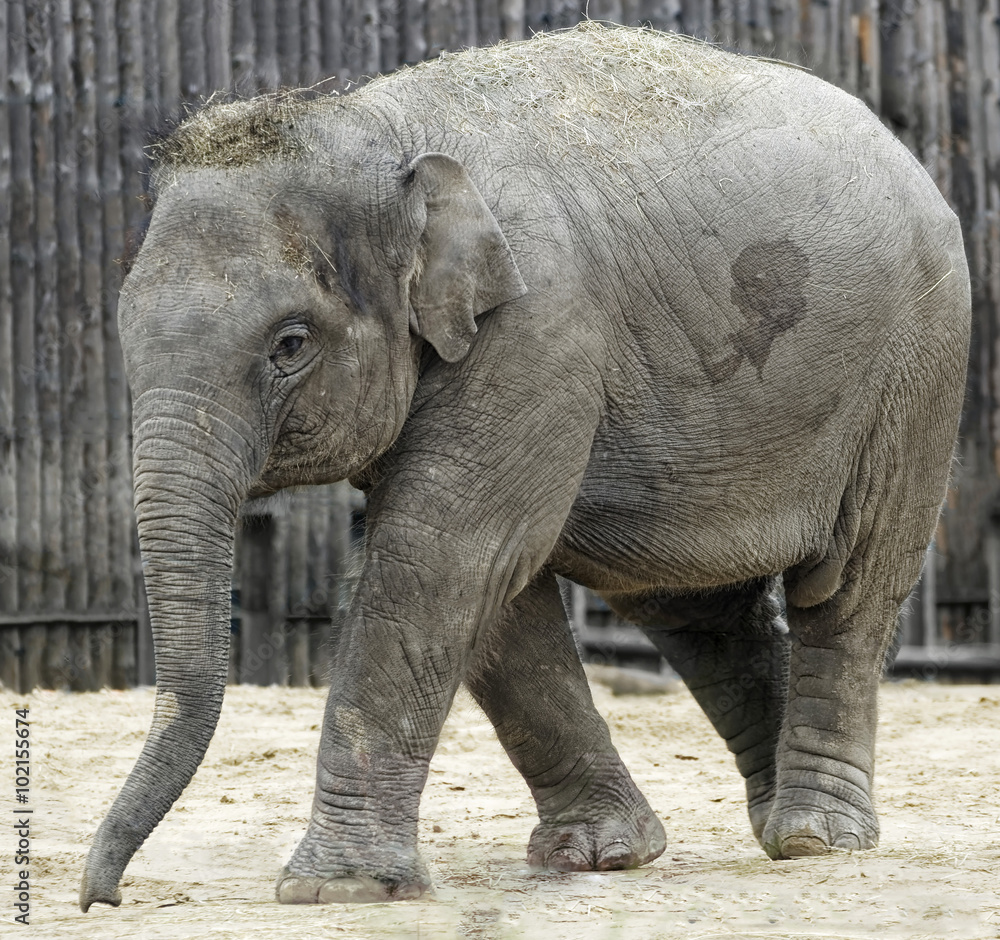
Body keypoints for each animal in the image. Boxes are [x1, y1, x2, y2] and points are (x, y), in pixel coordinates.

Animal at [79, 22, 970, 910]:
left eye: (290, 344)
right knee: (693, 609)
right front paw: (602, 855)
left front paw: (335, 889)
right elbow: (498, 595)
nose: (104, 897)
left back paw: (815, 838)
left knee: (847, 588)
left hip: (917, 368)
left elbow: (445, 554)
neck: (376, 126)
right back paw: (772, 819)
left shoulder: (537, 326)